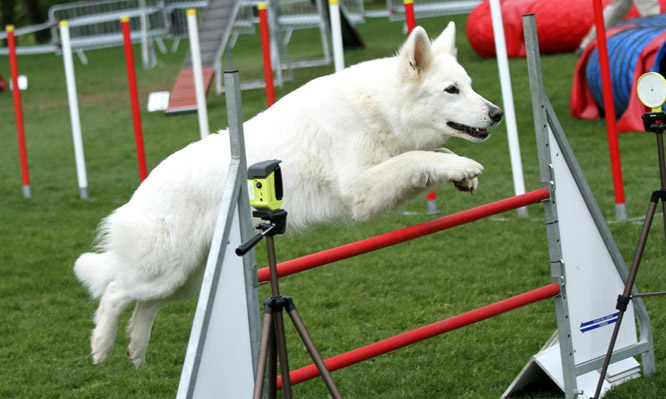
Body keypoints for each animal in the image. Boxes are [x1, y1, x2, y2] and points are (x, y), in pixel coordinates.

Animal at [74, 23, 498, 368]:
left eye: (470, 85)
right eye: (451, 90)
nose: (496, 114)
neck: (381, 105)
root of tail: (139, 192)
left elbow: (428, 155)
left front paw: (458, 170)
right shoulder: (361, 188)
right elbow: (417, 157)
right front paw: (463, 165)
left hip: (188, 278)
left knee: (144, 306)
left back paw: (136, 349)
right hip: (163, 269)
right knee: (114, 291)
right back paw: (100, 347)